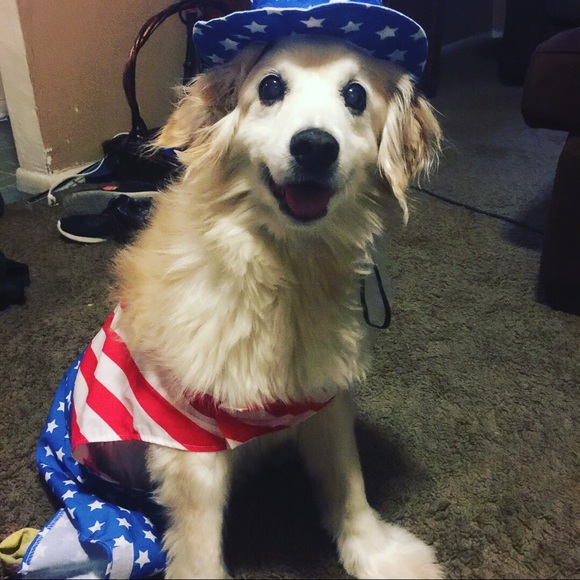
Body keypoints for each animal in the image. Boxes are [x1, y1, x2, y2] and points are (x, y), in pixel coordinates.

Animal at [103, 35, 442, 578]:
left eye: (355, 95)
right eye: (270, 87)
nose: (315, 146)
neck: (284, 271)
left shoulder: (324, 399)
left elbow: (349, 484)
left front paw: (377, 554)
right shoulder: (189, 442)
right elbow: (199, 549)